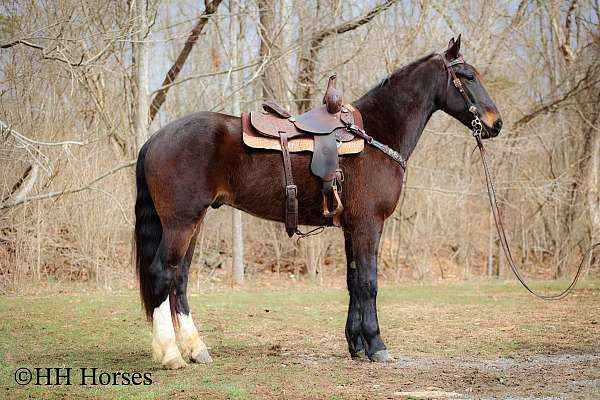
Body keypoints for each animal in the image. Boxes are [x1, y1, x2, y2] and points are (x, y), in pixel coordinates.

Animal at [135, 36, 502, 368]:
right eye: (468, 76)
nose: (495, 123)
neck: (375, 135)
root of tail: (155, 138)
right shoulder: (369, 225)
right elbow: (369, 283)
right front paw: (377, 346)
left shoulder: (352, 228)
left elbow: (354, 282)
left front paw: (357, 346)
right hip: (181, 223)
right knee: (162, 273)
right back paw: (170, 354)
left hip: (193, 224)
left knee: (179, 280)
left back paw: (196, 349)